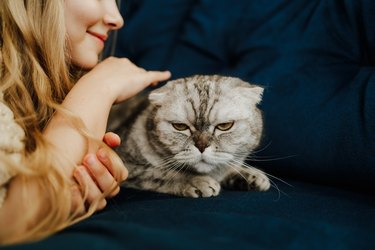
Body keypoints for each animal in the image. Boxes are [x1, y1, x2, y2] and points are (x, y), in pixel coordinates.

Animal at [114, 74, 270, 197]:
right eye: (180, 126)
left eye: (225, 125)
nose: (201, 146)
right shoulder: (128, 166)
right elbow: (161, 172)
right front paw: (197, 181)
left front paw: (251, 176)